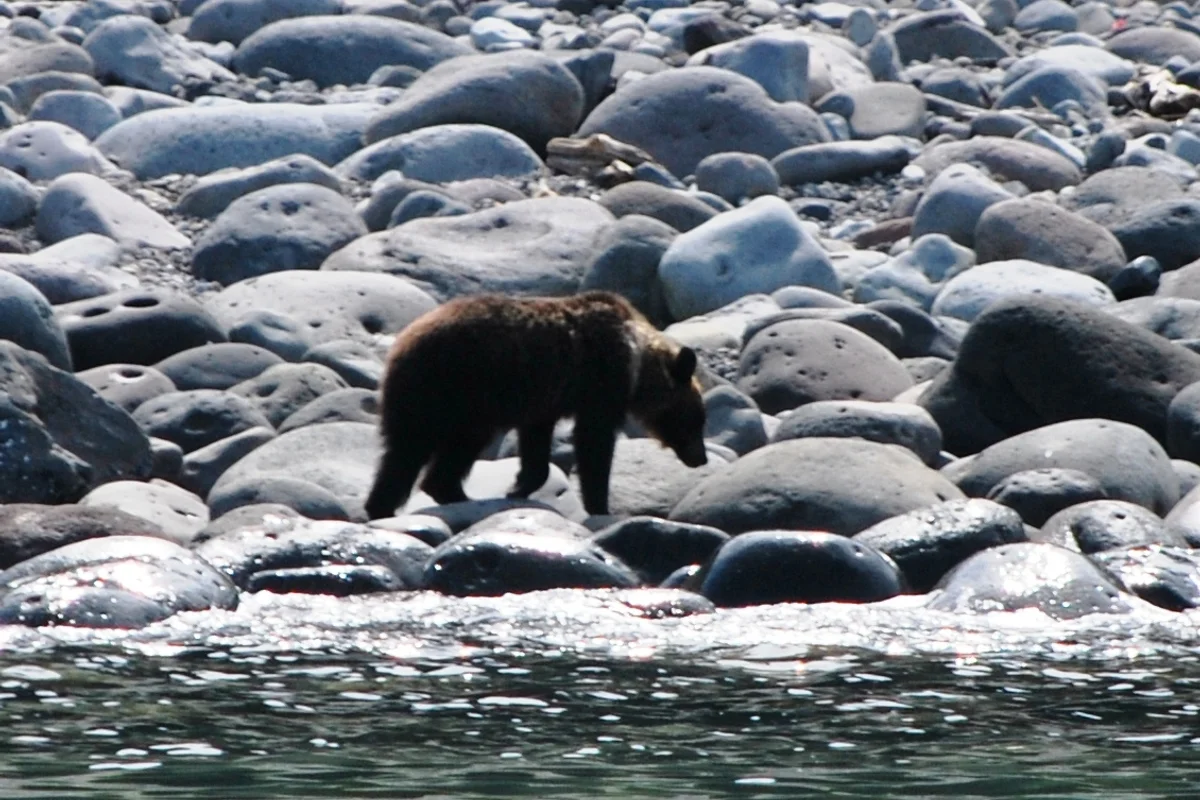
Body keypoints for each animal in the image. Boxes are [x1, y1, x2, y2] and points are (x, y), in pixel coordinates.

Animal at [364, 290, 708, 519]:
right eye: (697, 419)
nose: (701, 458)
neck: (636, 369)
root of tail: (401, 345)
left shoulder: (544, 401)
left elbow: (536, 445)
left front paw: (518, 486)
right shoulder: (599, 386)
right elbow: (594, 444)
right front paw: (601, 506)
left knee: (407, 453)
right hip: (453, 390)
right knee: (430, 449)